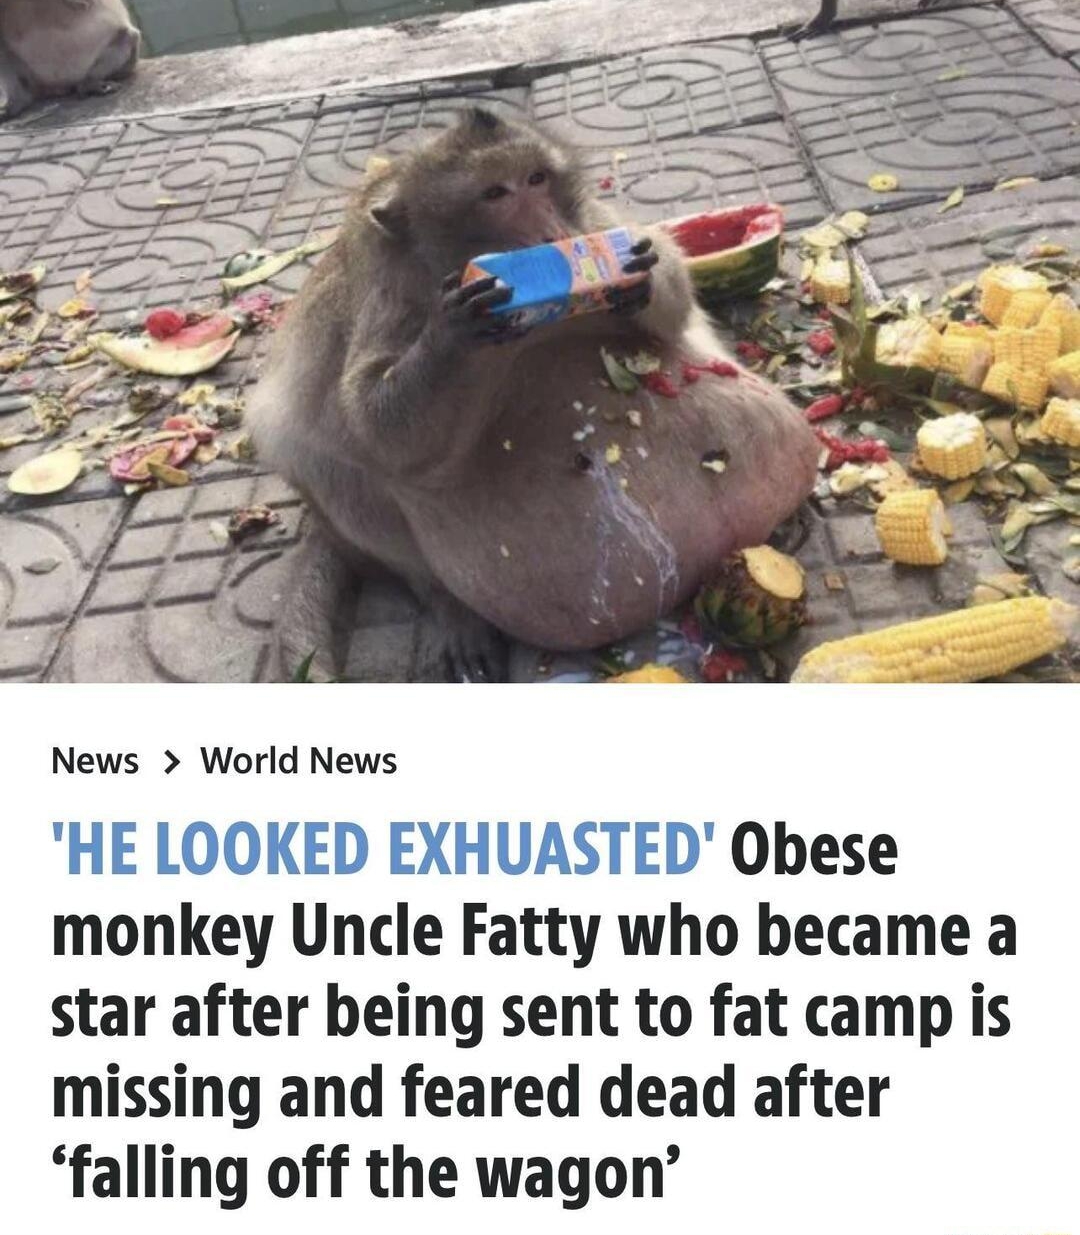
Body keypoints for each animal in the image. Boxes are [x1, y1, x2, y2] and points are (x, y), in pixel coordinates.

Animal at [249, 109, 820, 681]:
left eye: (537, 179)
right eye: (495, 193)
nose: (550, 231)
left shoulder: (589, 216)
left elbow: (676, 300)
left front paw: (639, 274)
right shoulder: (386, 289)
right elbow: (375, 426)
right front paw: (454, 330)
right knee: (321, 460)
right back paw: (452, 611)